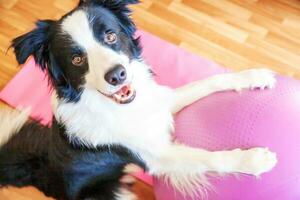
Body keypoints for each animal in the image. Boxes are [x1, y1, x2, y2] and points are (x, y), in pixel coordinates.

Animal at [0, 0, 278, 200]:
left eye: (110, 36)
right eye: (77, 59)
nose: (117, 75)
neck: (120, 108)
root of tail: (43, 173)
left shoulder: (159, 102)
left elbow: (209, 81)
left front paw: (254, 76)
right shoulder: (158, 156)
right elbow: (208, 158)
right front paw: (254, 160)